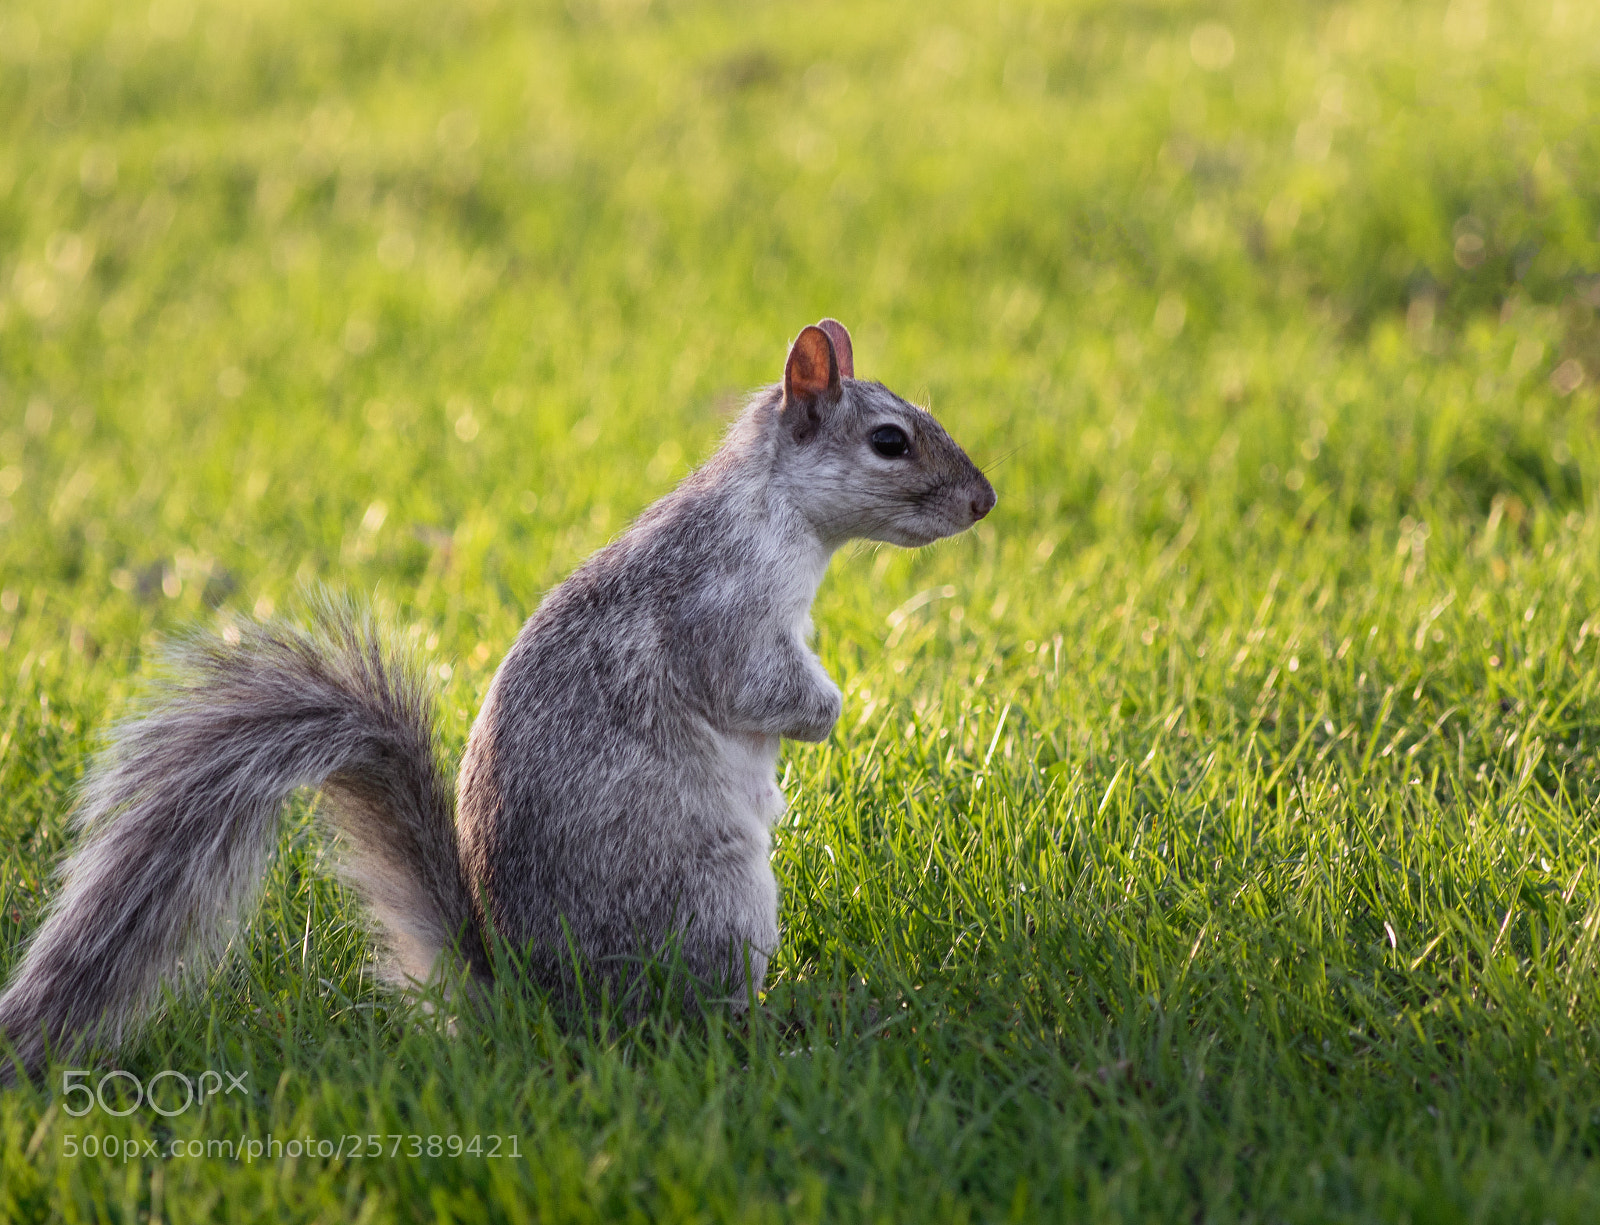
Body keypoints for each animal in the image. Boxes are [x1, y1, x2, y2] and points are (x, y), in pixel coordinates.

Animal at [0, 319, 996, 1077]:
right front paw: (828, 714)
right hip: (713, 901)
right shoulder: (724, 605)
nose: (985, 502)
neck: (774, 507)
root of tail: (535, 1006)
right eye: (891, 440)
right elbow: (753, 682)